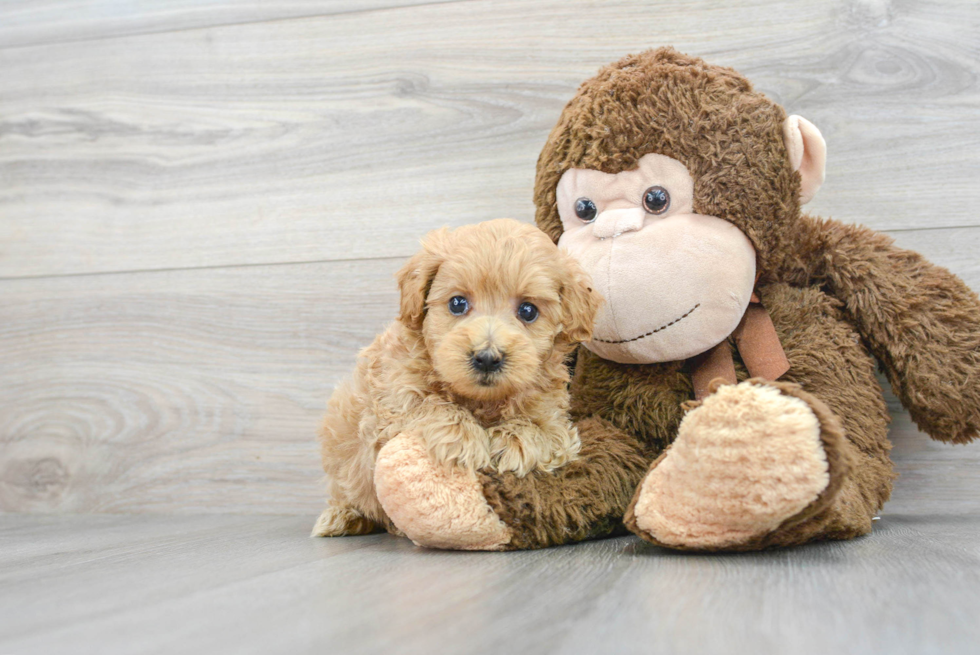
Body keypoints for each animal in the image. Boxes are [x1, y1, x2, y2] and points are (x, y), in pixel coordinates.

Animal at [314, 219, 604, 540]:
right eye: (457, 303)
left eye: (528, 311)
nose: (487, 358)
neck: (481, 402)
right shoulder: (390, 399)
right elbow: (428, 405)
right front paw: (464, 437)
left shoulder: (555, 417)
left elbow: (545, 430)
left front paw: (517, 439)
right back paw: (342, 516)